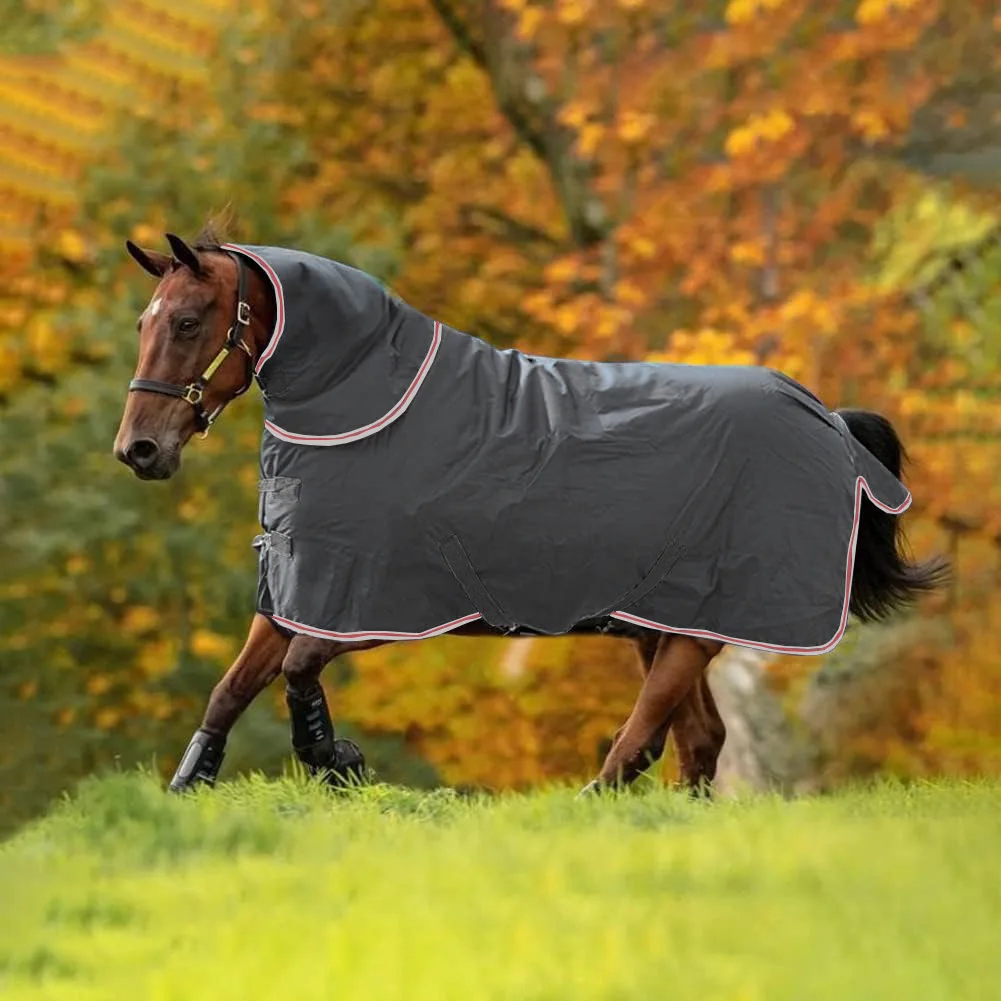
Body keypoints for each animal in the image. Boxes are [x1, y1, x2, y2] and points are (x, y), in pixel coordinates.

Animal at [113, 230, 946, 796]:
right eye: (143, 323)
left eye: (188, 320)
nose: (139, 449)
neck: (374, 413)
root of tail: (826, 417)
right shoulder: (299, 588)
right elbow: (231, 688)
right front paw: (191, 783)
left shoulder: (385, 601)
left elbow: (294, 670)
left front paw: (337, 760)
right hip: (665, 623)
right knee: (697, 740)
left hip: (702, 619)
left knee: (648, 734)